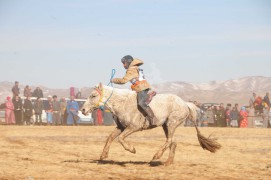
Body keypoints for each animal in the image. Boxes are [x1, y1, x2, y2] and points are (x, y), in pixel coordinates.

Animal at [82, 83, 222, 166]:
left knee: (169, 141)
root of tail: (185, 104)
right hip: (166, 126)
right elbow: (110, 137)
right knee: (173, 142)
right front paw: (103, 155)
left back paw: (156, 156)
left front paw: (132, 149)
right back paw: (168, 162)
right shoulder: (121, 127)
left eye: (93, 95)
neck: (123, 103)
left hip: (171, 123)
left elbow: (120, 139)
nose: (83, 110)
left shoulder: (133, 127)